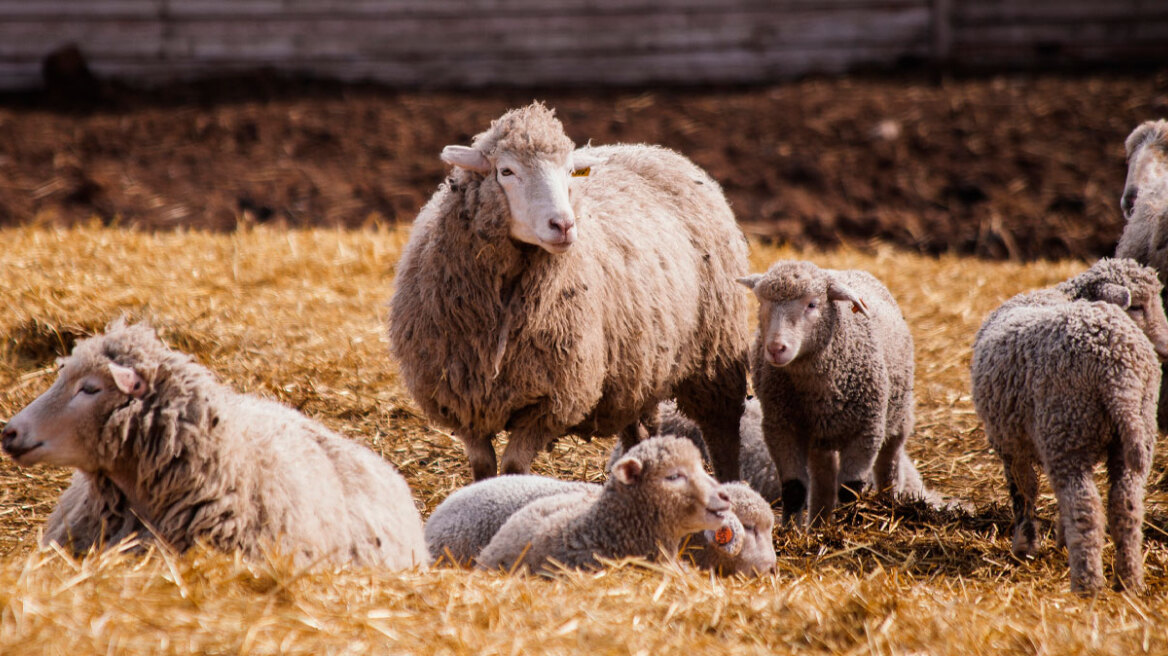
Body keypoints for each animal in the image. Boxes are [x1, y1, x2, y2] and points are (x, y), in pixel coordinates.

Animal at [387, 102, 752, 480]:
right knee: (641, 431)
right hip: (638, 369)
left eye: (568, 174)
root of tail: (655, 149)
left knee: (722, 431)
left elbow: (515, 467)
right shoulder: (463, 402)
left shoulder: (551, 403)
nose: (563, 225)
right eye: (506, 171)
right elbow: (483, 468)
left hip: (715, 353)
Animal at [738, 257, 920, 522]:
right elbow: (794, 489)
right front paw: (792, 528)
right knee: (823, 479)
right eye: (761, 303)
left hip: (899, 414)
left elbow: (850, 491)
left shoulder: (867, 432)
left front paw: (848, 523)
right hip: (819, 438)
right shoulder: (781, 428)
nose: (775, 348)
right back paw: (818, 522)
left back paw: (889, 499)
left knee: (889, 463)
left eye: (812, 304)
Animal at [967, 256, 1168, 592]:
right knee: (1125, 505)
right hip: (1132, 431)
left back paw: (1087, 583)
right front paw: (1059, 538)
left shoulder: (1009, 442)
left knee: (1084, 506)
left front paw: (1024, 546)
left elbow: (1023, 491)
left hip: (1066, 428)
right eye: (1138, 306)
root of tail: (1118, 369)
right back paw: (1129, 580)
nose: (1167, 348)